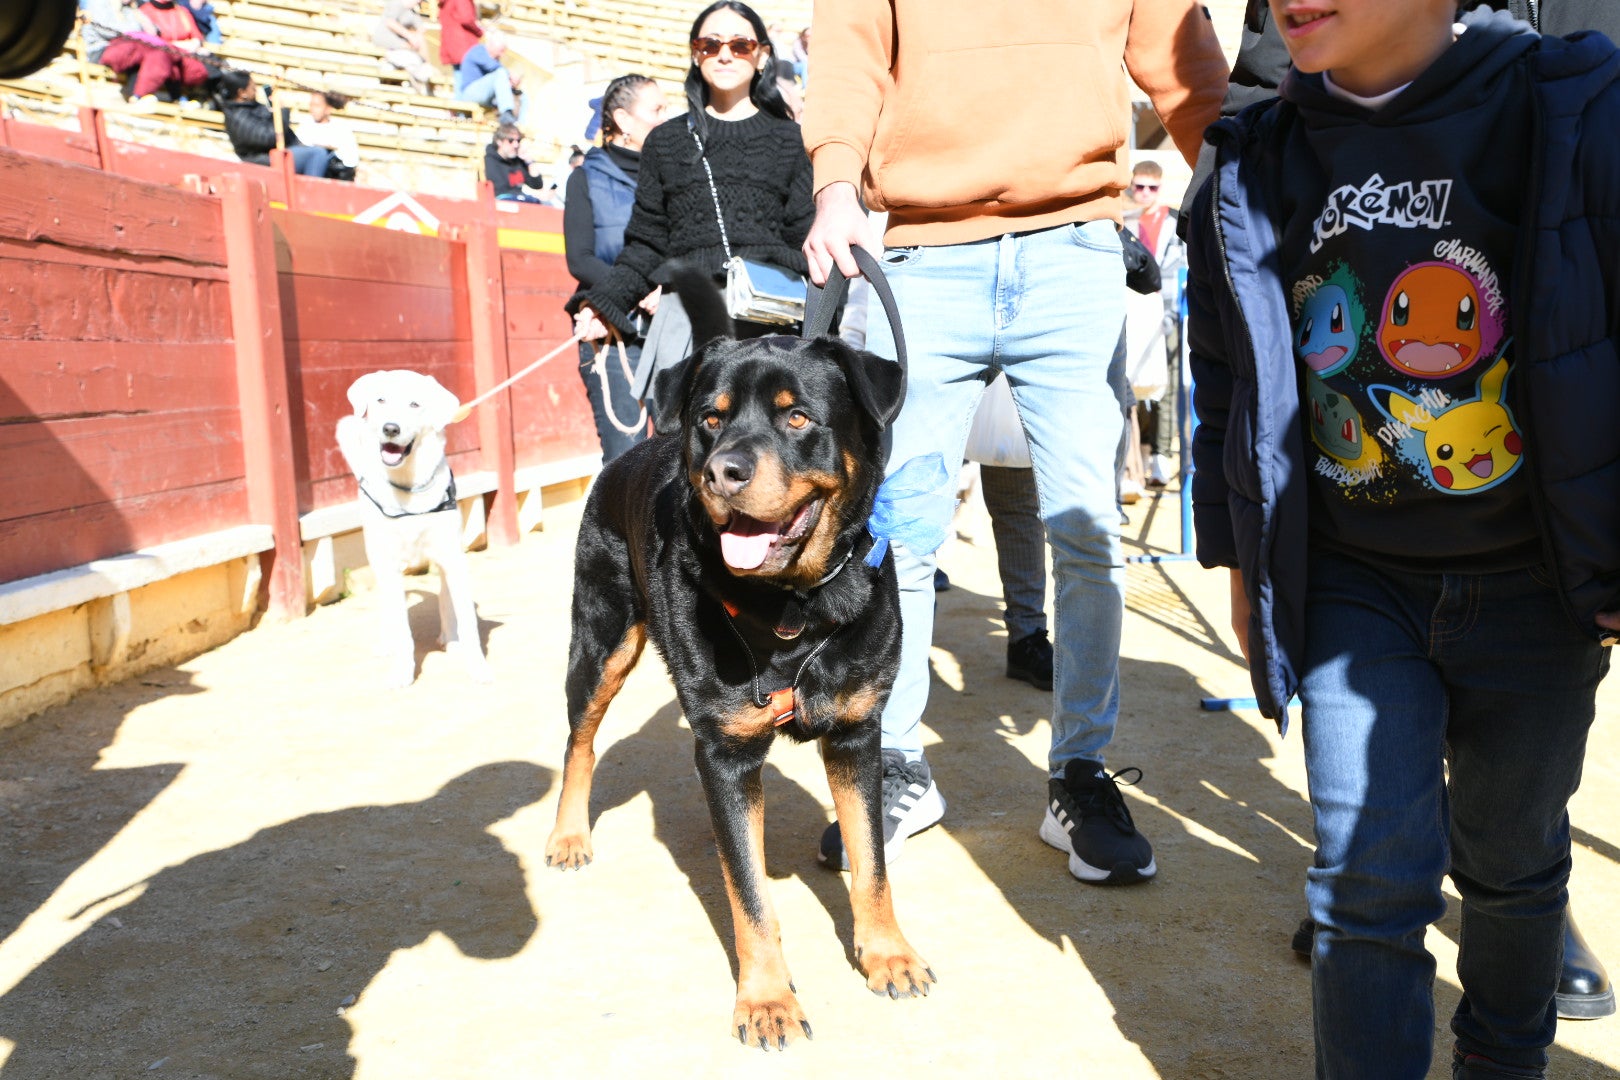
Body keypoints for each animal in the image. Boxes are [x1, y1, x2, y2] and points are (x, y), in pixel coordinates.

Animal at [335, 372, 492, 689]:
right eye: (380, 399)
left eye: (415, 404)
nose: (390, 428)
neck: (408, 490)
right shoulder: (390, 566)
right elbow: (402, 631)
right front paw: (402, 671)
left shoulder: (453, 560)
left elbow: (467, 621)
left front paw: (477, 668)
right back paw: (387, 644)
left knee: (446, 604)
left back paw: (450, 639)